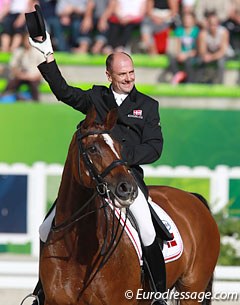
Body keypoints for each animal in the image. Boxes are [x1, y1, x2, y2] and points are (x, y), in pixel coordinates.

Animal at [39, 106, 219, 304]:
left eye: (119, 148)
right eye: (92, 148)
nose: (128, 189)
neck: (75, 247)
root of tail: (193, 198)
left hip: (192, 289)